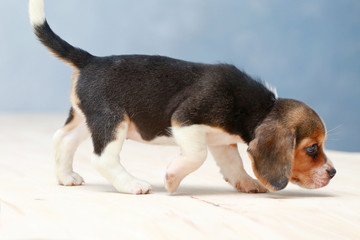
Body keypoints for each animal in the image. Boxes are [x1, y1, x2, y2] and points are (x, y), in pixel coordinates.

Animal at [28, 0, 334, 194]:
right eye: (311, 149)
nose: (333, 172)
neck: (262, 108)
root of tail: (91, 60)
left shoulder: (222, 142)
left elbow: (233, 165)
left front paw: (247, 183)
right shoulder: (185, 121)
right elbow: (197, 156)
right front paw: (172, 179)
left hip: (86, 118)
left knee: (62, 139)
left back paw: (66, 177)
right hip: (112, 121)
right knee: (102, 158)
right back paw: (132, 185)